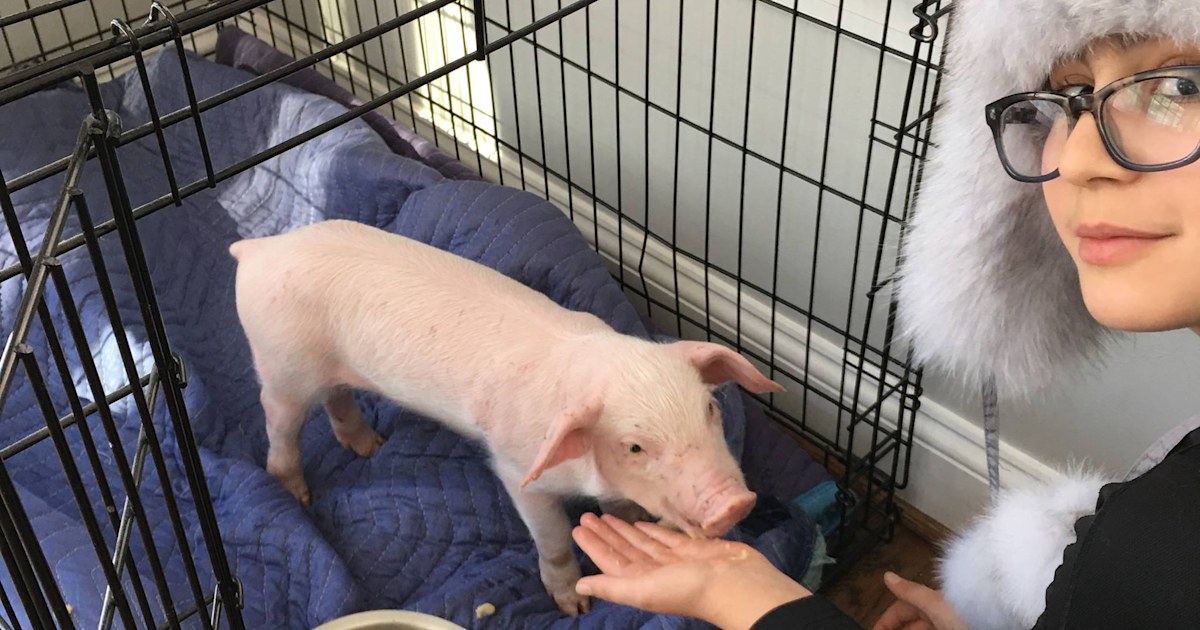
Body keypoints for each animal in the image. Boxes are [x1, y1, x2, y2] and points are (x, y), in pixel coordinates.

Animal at [227, 219, 782, 615]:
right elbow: (553, 539)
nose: (733, 503)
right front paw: (576, 607)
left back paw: (373, 448)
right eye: (635, 446)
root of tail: (259, 249)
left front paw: (635, 523)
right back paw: (298, 493)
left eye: (710, 409)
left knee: (337, 398)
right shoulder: (518, 471)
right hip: (279, 363)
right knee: (280, 427)